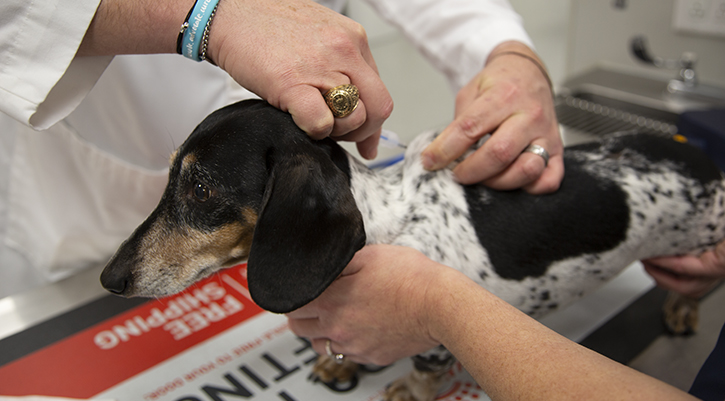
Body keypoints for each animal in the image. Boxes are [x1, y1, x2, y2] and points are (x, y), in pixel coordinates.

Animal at [100, 100, 724, 400]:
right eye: (172, 176)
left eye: (202, 188)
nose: (110, 278)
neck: (383, 225)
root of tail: (701, 157)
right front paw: (336, 363)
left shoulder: (437, 341)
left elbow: (426, 372)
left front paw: (405, 389)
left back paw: (683, 307)